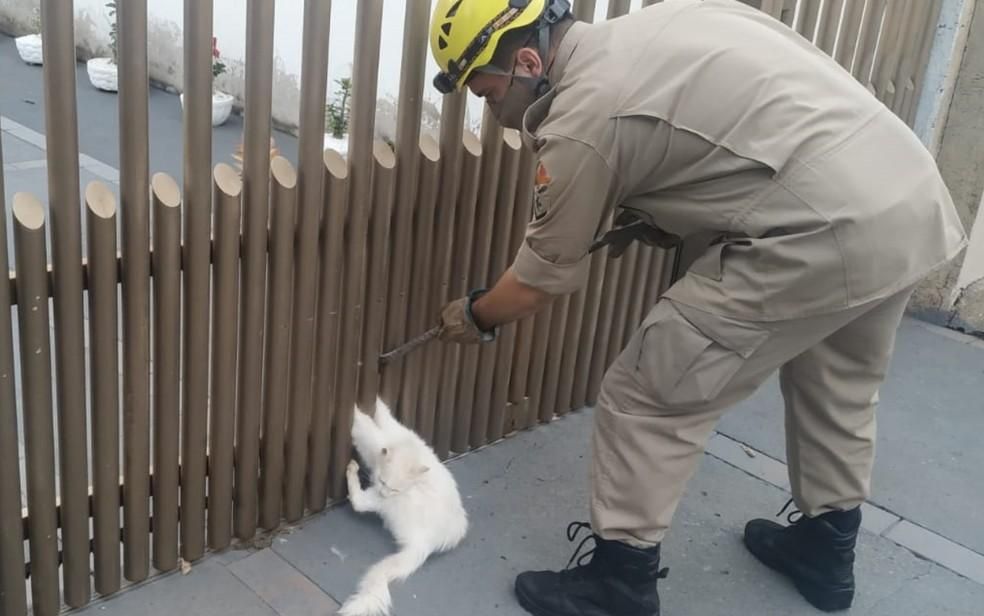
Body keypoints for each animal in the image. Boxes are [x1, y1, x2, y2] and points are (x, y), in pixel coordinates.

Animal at [338, 398, 468, 612]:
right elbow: (384, 416)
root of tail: (426, 544)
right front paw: (378, 405)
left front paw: (357, 411)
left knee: (359, 503)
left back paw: (352, 470)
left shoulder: (373, 443)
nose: (383, 491)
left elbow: (362, 428)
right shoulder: (394, 429)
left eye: (393, 488)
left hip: (394, 504)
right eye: (383, 482)